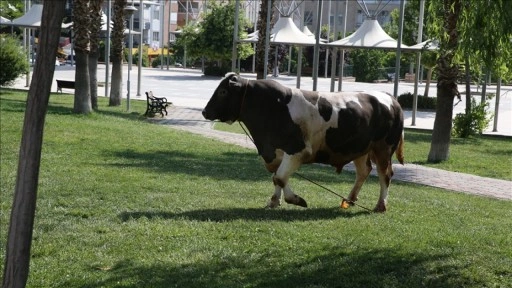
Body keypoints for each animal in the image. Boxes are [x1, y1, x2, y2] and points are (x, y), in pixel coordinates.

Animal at [201, 72, 404, 212]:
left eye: (223, 91)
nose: (204, 112)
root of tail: (391, 98)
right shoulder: (275, 152)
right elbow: (277, 178)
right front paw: (274, 201)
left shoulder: (297, 150)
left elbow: (280, 177)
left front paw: (297, 200)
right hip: (359, 149)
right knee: (363, 172)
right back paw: (350, 199)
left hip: (383, 148)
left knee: (385, 175)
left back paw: (380, 205)